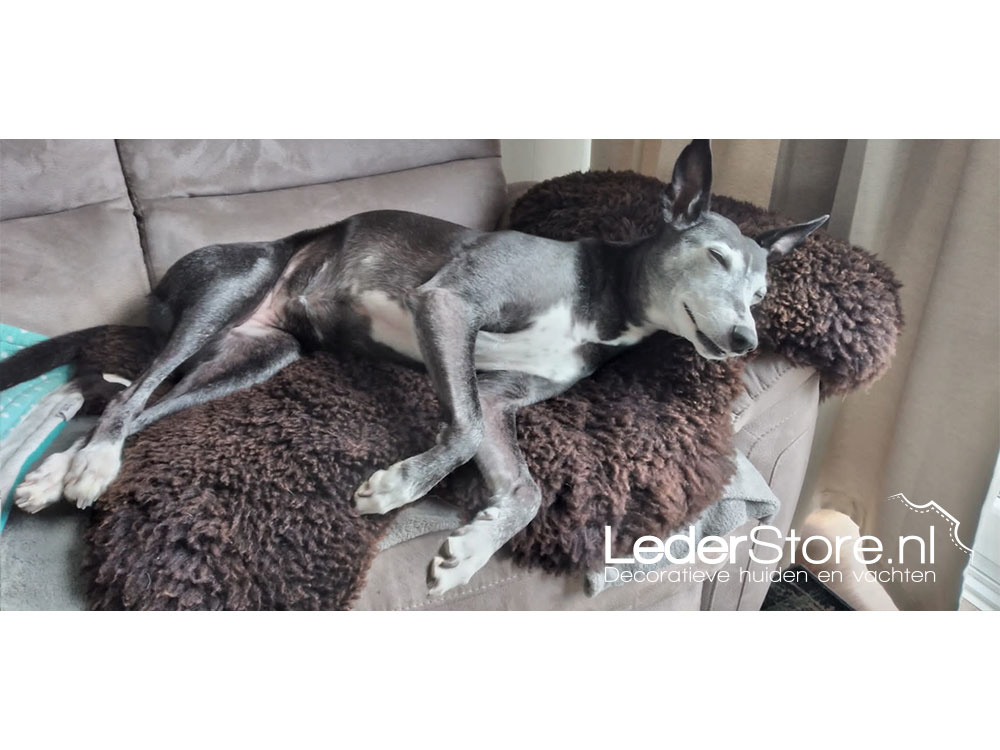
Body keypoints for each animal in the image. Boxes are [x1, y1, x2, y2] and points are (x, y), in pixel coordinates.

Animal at [1, 141, 828, 596]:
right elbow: (456, 431)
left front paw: (467, 553)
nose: (745, 337)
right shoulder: (448, 306)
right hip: (231, 287)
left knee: (150, 405)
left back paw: (63, 470)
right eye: (714, 256)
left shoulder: (497, 398)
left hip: (257, 356)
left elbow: (524, 486)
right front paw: (399, 485)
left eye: (763, 291)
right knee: (132, 393)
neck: (601, 294)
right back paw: (79, 467)